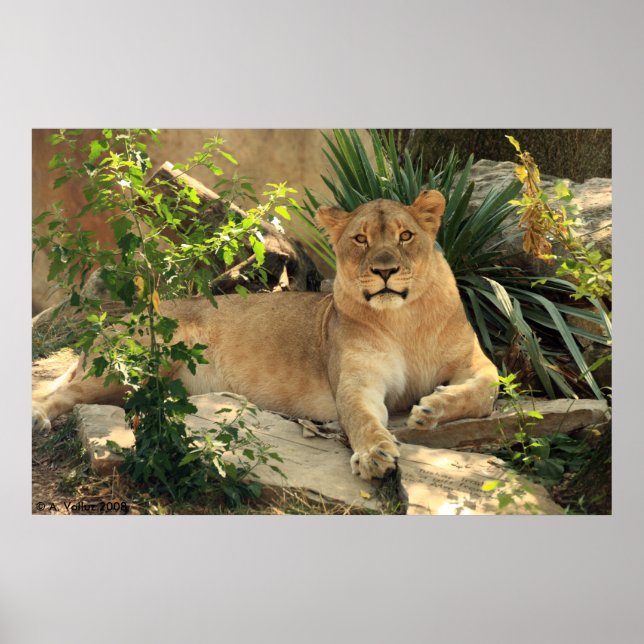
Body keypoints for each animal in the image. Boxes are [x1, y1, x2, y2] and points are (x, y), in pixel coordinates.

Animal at [32, 190, 499, 480]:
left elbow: (488, 388)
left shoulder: (474, 360)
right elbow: (363, 419)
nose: (385, 270)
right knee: (64, 394)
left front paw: (431, 409)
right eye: (360, 239)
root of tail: (119, 321)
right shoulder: (356, 381)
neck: (404, 321)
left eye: (405, 236)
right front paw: (375, 455)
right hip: (138, 362)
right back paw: (38, 417)